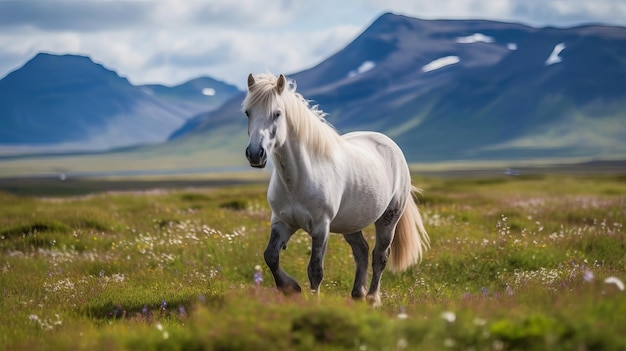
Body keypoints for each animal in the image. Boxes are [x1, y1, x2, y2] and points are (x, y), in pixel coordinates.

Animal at [241, 73, 426, 306]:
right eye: (248, 112)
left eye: (277, 113)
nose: (255, 154)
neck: (297, 179)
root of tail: (391, 145)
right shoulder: (282, 222)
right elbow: (271, 256)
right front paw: (291, 288)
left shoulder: (321, 227)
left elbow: (315, 270)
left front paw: (314, 302)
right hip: (351, 222)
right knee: (361, 251)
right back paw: (358, 294)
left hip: (388, 219)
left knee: (380, 256)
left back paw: (372, 298)